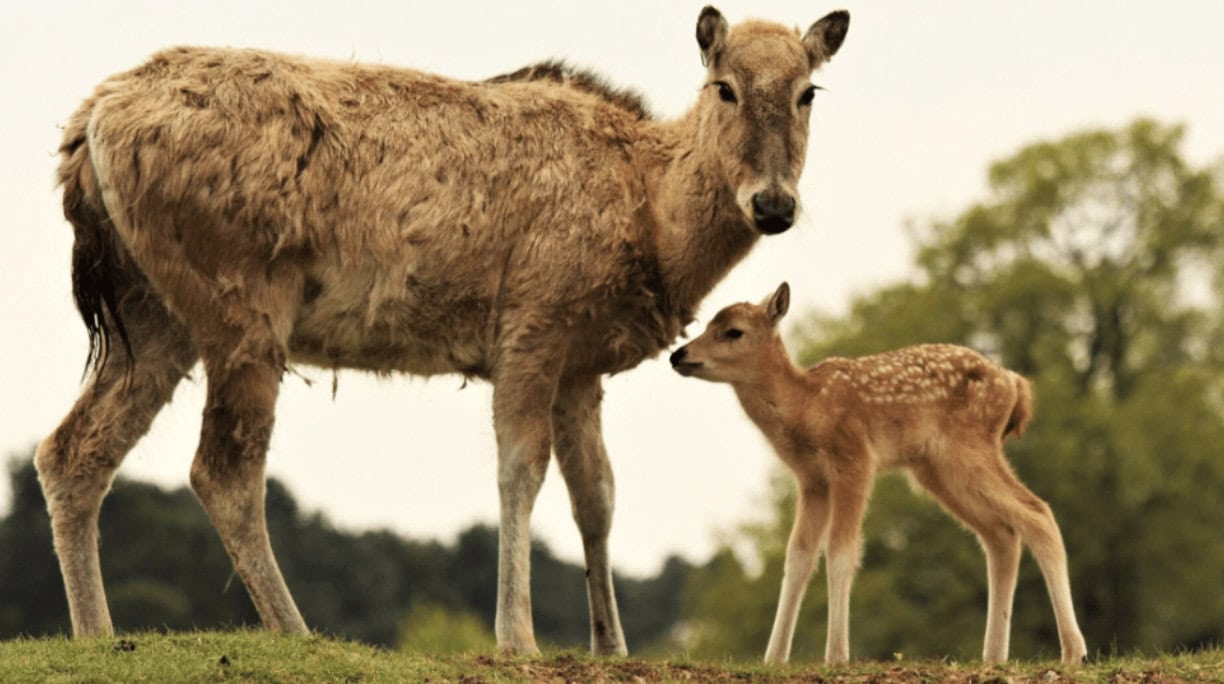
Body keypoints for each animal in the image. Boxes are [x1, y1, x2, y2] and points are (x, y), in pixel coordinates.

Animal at [35, 7, 850, 655]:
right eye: (725, 87)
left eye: (808, 91)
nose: (774, 204)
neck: (653, 223)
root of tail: (86, 129)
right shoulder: (533, 321)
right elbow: (520, 471)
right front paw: (517, 637)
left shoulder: (581, 364)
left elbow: (598, 495)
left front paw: (612, 647)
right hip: (240, 300)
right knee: (222, 469)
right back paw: (298, 633)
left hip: (152, 311)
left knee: (71, 450)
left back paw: (98, 635)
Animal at [669, 283, 1088, 665]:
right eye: (708, 323)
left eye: (733, 331)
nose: (678, 354)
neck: (807, 406)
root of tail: (1015, 385)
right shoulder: (812, 480)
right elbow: (798, 557)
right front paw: (773, 659)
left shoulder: (854, 460)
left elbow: (841, 552)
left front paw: (837, 657)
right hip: (936, 470)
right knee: (1002, 534)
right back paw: (994, 657)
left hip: (967, 450)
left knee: (1037, 513)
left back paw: (1073, 653)